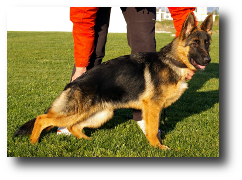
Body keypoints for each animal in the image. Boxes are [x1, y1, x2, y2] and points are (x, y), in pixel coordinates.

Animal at [14, 13, 213, 150]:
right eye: (194, 43)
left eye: (207, 44)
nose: (208, 60)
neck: (173, 61)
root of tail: (72, 84)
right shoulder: (153, 107)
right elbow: (153, 129)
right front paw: (157, 147)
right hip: (75, 112)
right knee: (42, 118)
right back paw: (33, 142)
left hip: (100, 114)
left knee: (73, 126)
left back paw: (87, 140)